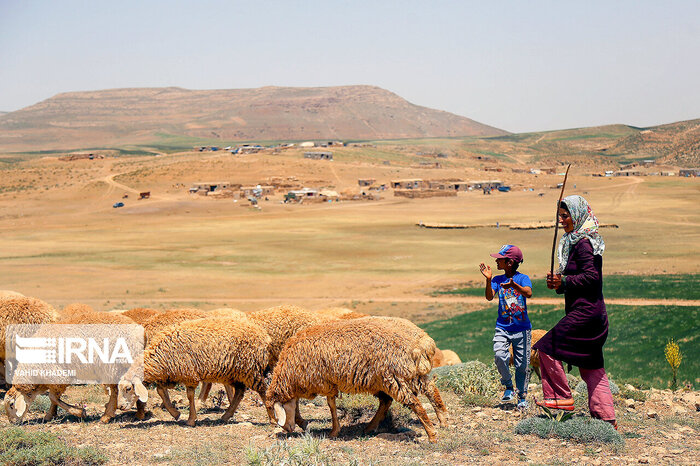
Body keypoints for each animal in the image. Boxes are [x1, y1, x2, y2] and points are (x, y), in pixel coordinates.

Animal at [120, 316, 274, 426]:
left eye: (128, 388)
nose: (120, 406)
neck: (160, 355)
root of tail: (264, 336)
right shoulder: (170, 374)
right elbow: (161, 391)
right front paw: (175, 413)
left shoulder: (188, 374)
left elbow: (189, 396)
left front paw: (191, 419)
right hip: (235, 372)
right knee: (240, 392)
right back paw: (226, 416)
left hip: (250, 369)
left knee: (263, 390)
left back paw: (272, 419)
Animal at [268, 318, 438, 442]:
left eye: (278, 413)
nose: (288, 430)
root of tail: (414, 346)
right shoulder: (325, 383)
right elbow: (304, 404)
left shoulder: (325, 383)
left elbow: (331, 406)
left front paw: (334, 431)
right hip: (390, 378)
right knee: (418, 392)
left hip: (393, 377)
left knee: (413, 402)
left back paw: (432, 435)